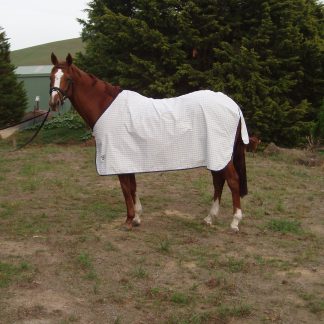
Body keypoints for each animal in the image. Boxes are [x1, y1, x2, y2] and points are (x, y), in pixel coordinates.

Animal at [49, 52, 249, 230]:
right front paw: (137, 217)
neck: (104, 106)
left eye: (68, 78)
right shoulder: (128, 159)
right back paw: (209, 218)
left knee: (232, 181)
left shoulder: (118, 158)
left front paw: (129, 220)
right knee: (218, 182)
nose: (53, 103)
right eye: (51, 77)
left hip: (221, 153)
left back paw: (235, 222)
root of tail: (234, 105)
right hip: (216, 155)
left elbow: (125, 188)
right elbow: (132, 186)